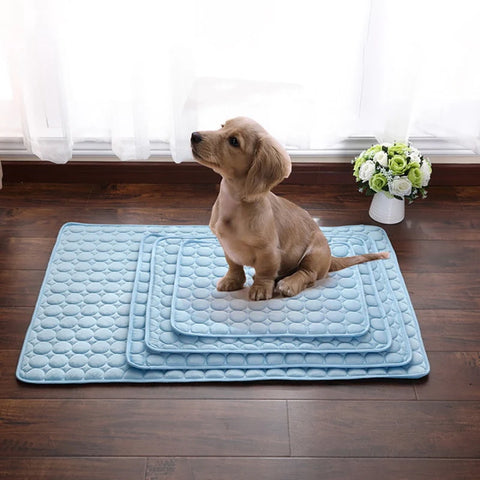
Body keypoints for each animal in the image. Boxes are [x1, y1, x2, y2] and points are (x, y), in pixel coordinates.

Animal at [189, 116, 388, 300]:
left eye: (234, 141)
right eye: (222, 126)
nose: (194, 136)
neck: (234, 201)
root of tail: (330, 258)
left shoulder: (269, 251)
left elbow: (264, 272)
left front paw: (261, 288)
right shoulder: (227, 246)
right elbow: (234, 265)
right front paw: (232, 280)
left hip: (315, 252)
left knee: (308, 274)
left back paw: (289, 283)